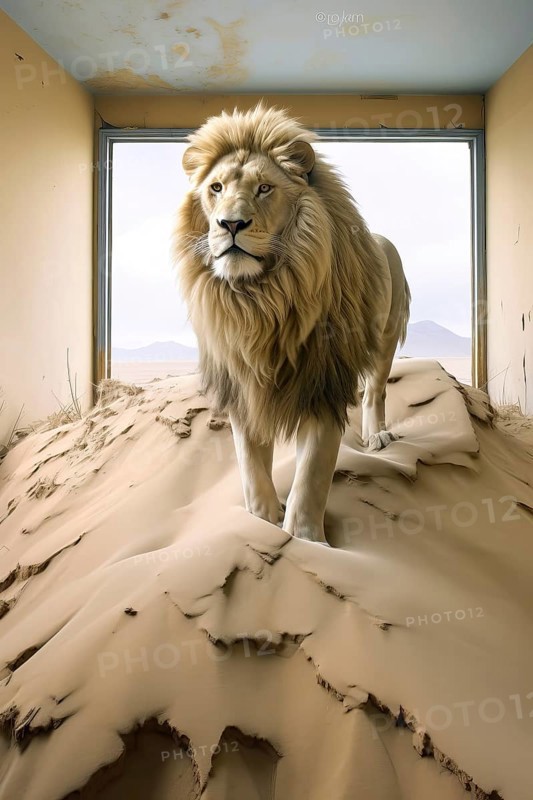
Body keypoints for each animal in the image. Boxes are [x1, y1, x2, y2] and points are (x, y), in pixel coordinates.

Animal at [174, 103, 410, 545]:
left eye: (264, 188)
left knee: (375, 391)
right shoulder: (243, 384)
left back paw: (375, 437)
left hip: (386, 336)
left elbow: (311, 477)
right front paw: (261, 524)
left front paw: (307, 541)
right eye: (216, 188)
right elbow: (251, 471)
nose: (230, 225)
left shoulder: (325, 381)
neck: (261, 301)